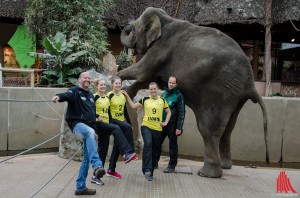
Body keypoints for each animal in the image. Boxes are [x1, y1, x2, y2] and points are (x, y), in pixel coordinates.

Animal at [116, 7, 268, 178]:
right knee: (228, 128)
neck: (165, 19)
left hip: (220, 92)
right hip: (235, 96)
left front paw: (117, 80)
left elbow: (142, 71)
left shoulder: (161, 49)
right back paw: (226, 166)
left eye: (134, 30)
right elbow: (149, 77)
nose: (128, 24)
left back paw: (207, 173)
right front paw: (125, 91)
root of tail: (250, 82)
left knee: (208, 128)